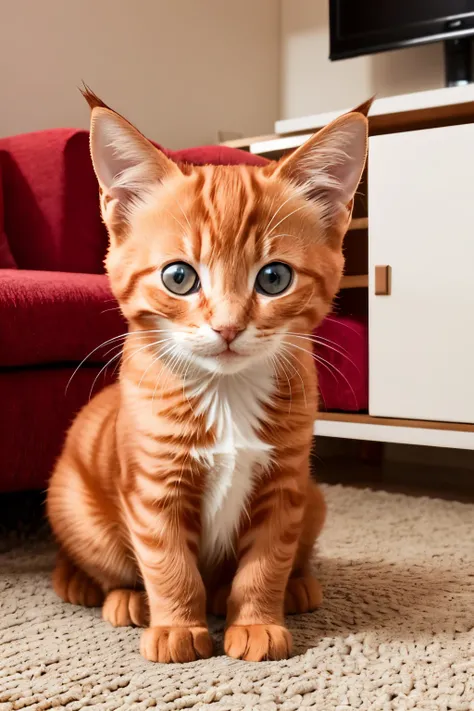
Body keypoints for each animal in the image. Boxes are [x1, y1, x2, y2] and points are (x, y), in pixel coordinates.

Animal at [46, 92, 368, 664]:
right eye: (179, 277)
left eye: (274, 277)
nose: (228, 327)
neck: (226, 394)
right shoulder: (154, 489)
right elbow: (168, 564)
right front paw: (177, 627)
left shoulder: (286, 484)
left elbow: (267, 559)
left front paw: (258, 619)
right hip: (73, 504)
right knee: (102, 563)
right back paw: (118, 594)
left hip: (315, 499)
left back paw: (295, 586)